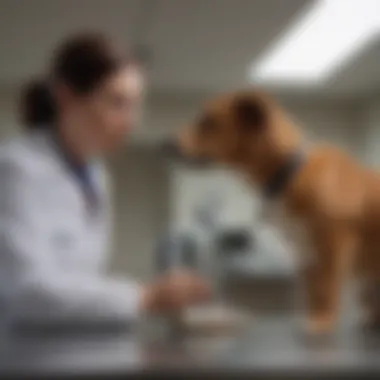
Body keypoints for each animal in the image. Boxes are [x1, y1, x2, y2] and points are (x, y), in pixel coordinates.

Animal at [177, 90, 380, 334]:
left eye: (208, 122)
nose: (166, 144)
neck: (289, 172)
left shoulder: (330, 244)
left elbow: (325, 288)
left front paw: (321, 321)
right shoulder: (305, 250)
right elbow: (312, 290)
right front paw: (312, 315)